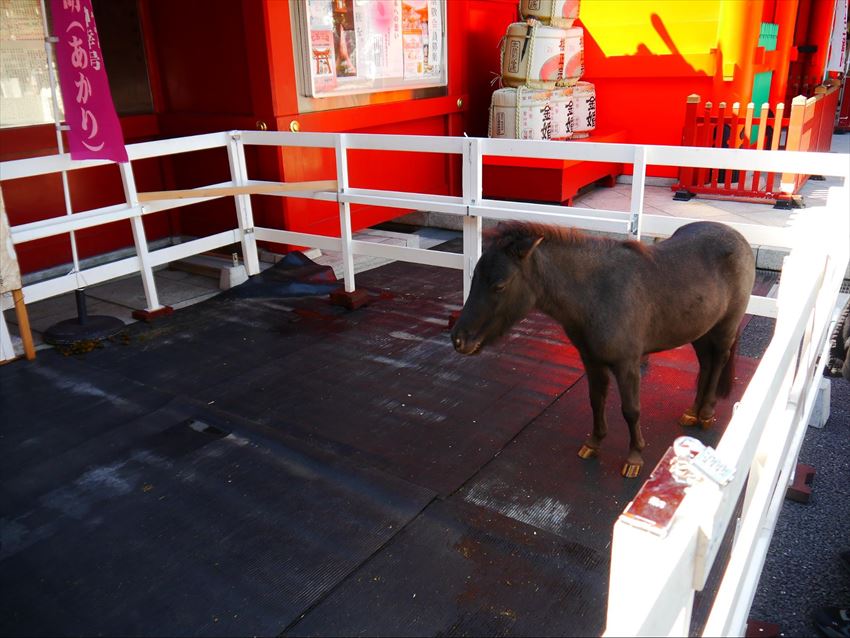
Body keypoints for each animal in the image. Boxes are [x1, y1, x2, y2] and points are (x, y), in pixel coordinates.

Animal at [454, 222, 752, 478]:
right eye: (474, 276)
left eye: (499, 285)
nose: (458, 339)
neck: (597, 294)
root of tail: (738, 237)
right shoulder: (591, 360)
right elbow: (596, 400)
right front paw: (594, 443)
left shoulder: (628, 364)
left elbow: (631, 410)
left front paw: (634, 456)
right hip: (701, 330)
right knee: (707, 363)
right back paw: (693, 411)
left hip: (725, 327)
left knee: (719, 360)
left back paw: (706, 413)